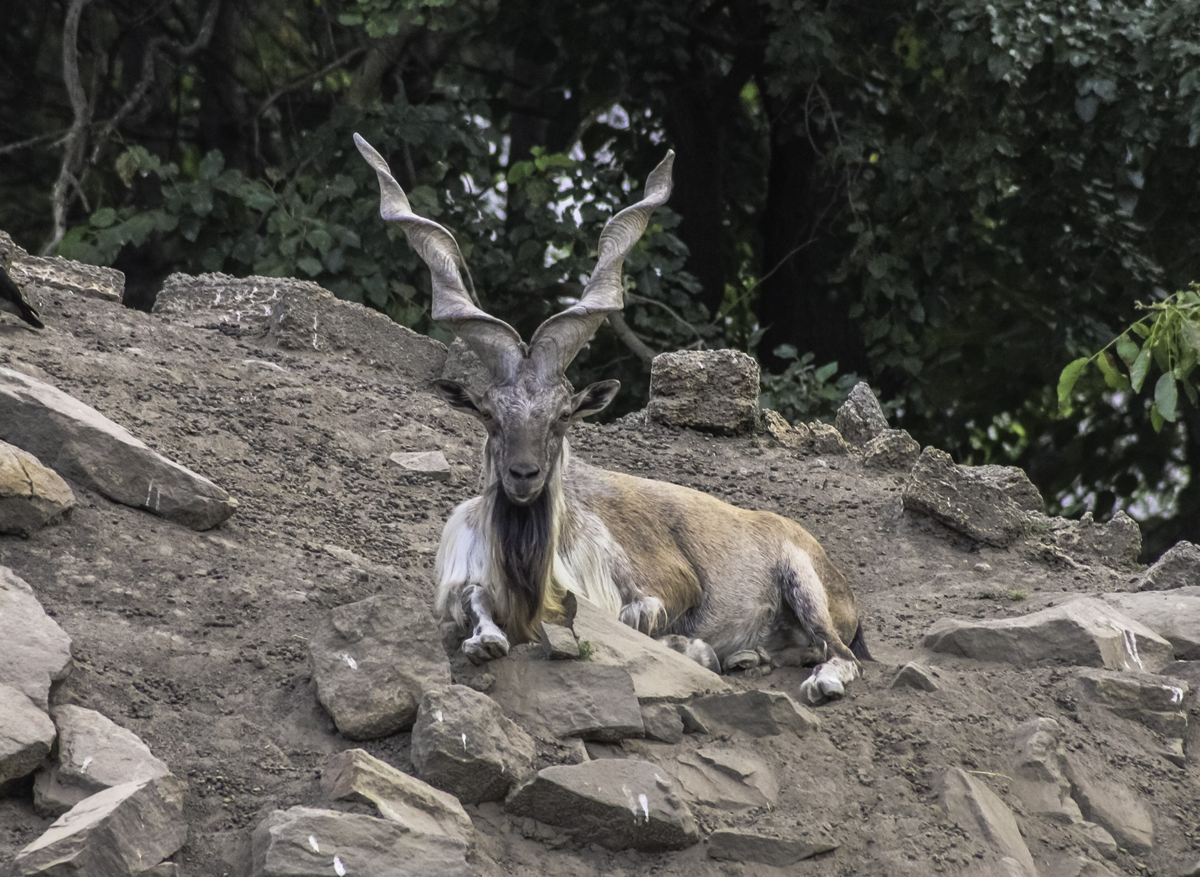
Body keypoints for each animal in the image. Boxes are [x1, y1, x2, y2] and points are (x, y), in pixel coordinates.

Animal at [350, 131, 868, 705]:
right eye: (488, 414)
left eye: (564, 415)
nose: (524, 476)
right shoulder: (460, 584)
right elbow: (476, 611)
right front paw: (484, 642)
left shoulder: (664, 585)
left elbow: (636, 621)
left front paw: (697, 649)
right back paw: (749, 656)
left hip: (805, 583)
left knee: (837, 653)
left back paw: (817, 680)